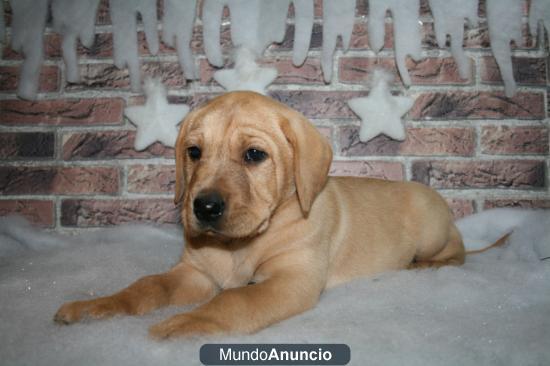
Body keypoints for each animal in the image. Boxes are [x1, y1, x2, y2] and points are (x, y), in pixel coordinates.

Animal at [55, 91, 466, 338]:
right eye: (194, 152)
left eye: (254, 155)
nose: (203, 206)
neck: (239, 245)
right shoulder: (195, 273)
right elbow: (147, 286)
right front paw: (97, 307)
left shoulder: (291, 281)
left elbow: (235, 299)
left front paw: (189, 321)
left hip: (433, 231)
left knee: (457, 251)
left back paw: (426, 265)